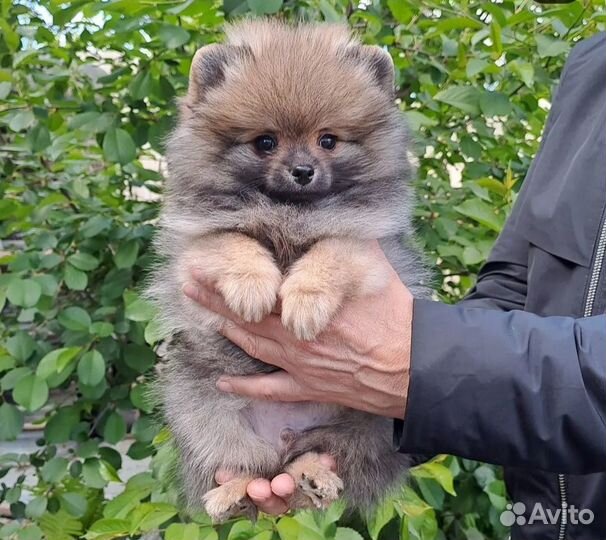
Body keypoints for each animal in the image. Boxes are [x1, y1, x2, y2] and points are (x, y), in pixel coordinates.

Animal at [149, 21, 430, 524]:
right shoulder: (196, 247)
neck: (289, 214)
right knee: (248, 465)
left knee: (317, 452)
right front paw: (253, 286)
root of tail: (282, 437)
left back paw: (315, 476)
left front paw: (304, 300)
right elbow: (232, 241)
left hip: (368, 418)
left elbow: (332, 249)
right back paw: (231, 493)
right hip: (199, 403)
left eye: (328, 140)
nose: (302, 170)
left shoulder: (370, 243)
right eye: (266, 142)